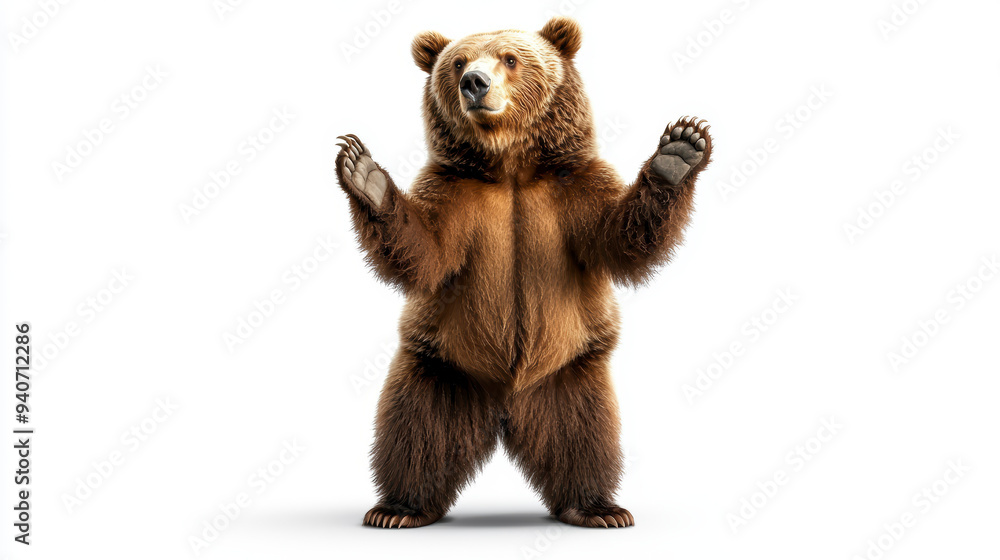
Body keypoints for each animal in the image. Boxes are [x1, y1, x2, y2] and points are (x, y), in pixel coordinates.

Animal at [336, 16, 711, 529]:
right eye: (457, 63)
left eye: (510, 58)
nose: (474, 82)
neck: (510, 164)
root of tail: (505, 405)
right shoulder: (454, 193)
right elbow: (428, 254)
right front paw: (366, 175)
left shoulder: (573, 189)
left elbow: (618, 238)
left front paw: (678, 152)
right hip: (440, 366)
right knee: (417, 431)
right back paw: (398, 508)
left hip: (571, 369)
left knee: (584, 434)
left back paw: (596, 507)